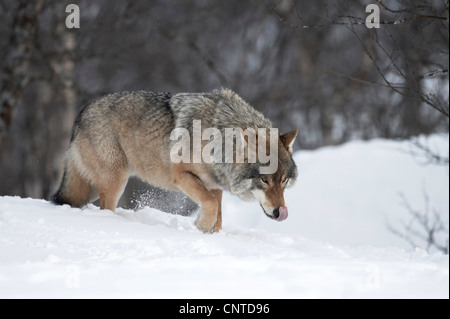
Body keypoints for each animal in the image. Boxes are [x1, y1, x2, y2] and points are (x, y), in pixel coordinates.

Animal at [51, 89, 298, 234]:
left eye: (283, 181)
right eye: (264, 180)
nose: (280, 212)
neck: (217, 137)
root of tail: (81, 114)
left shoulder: (214, 185)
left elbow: (217, 214)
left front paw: (209, 232)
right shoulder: (182, 177)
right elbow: (210, 205)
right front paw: (200, 225)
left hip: (94, 188)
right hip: (115, 182)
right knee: (105, 209)